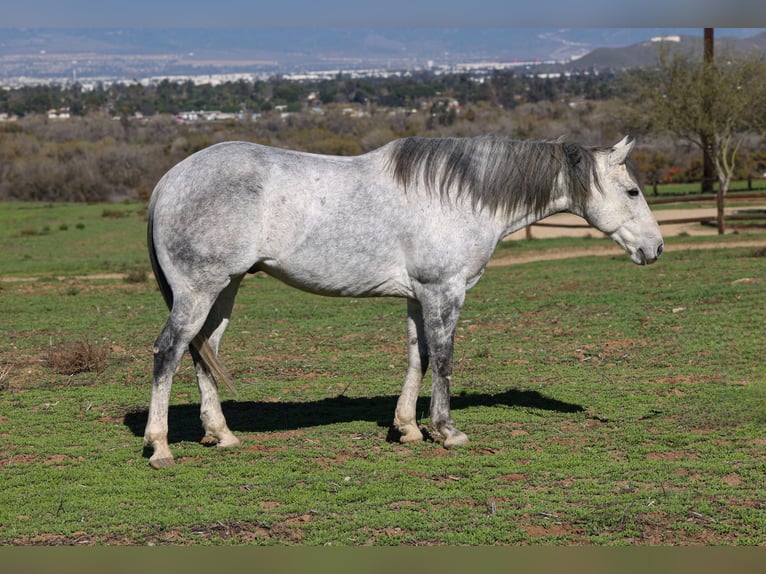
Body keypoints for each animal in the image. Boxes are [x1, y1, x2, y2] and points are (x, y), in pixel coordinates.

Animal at [143, 135, 663, 468]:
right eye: (633, 190)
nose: (655, 248)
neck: (458, 196)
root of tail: (168, 181)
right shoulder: (444, 290)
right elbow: (445, 359)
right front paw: (446, 430)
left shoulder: (418, 296)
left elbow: (420, 357)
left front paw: (408, 429)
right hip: (198, 290)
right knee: (169, 352)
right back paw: (161, 447)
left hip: (224, 289)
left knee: (204, 353)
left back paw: (222, 435)